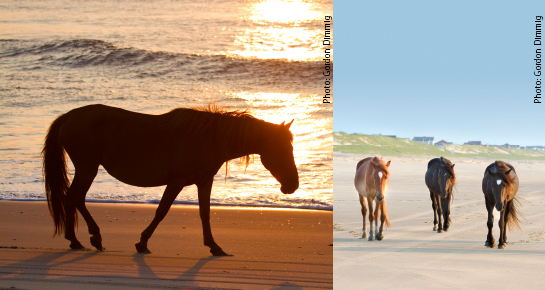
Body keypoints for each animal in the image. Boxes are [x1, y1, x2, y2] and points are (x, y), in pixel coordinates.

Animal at [42, 103, 298, 256]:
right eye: (282, 149)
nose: (292, 185)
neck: (210, 137)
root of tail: (69, 116)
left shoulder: (204, 181)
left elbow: (204, 213)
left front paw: (214, 246)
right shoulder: (176, 182)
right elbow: (162, 211)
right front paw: (142, 242)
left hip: (87, 168)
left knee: (75, 199)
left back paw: (82, 239)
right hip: (88, 168)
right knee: (74, 198)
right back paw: (84, 238)